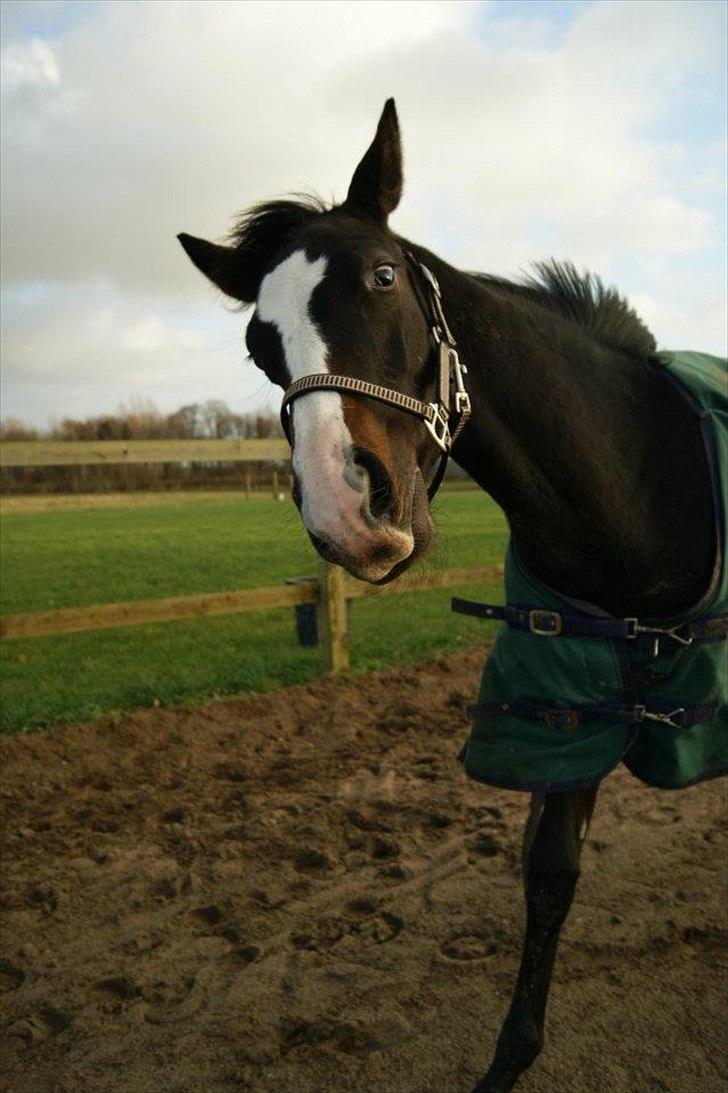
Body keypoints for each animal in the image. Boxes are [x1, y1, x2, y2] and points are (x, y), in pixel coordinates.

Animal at [177, 98, 725, 1088]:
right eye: (259, 345)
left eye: (384, 275)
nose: (346, 508)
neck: (639, 487)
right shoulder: (565, 706)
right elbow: (549, 874)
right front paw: (510, 1056)